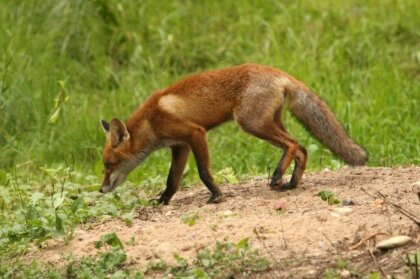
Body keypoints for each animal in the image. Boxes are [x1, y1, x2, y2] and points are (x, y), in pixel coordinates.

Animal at [99, 63, 368, 205]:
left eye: (110, 164)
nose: (101, 190)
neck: (151, 121)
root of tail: (277, 71)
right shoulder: (180, 146)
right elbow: (172, 179)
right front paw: (163, 201)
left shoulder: (195, 134)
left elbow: (203, 172)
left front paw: (216, 195)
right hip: (270, 122)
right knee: (301, 148)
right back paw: (291, 182)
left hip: (251, 123)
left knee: (292, 145)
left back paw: (278, 176)